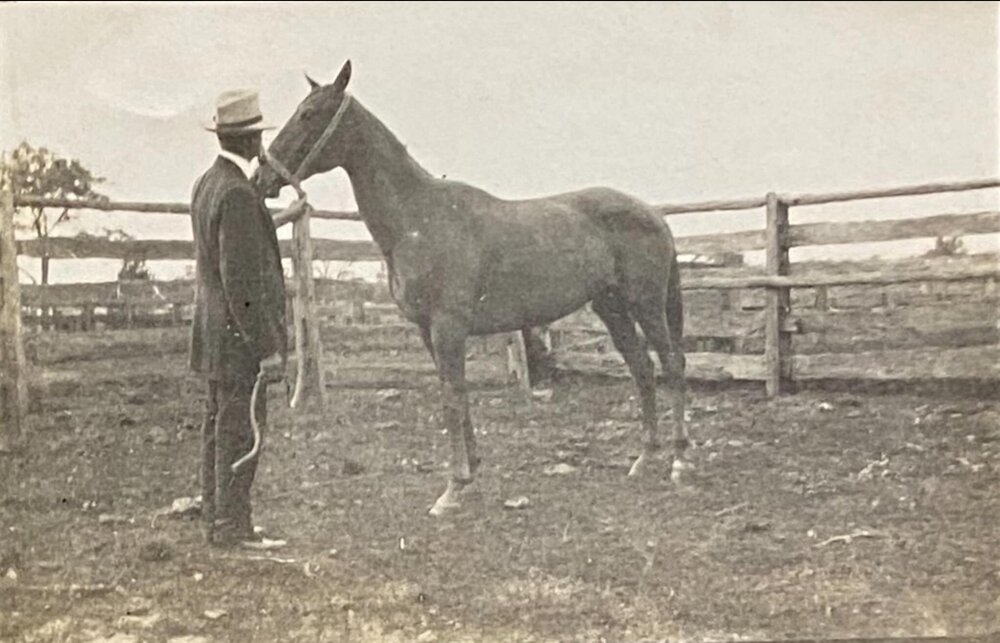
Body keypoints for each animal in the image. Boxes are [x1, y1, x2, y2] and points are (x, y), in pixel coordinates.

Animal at [253, 61, 691, 516]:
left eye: (309, 114)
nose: (262, 177)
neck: (420, 219)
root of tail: (653, 214)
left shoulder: (448, 328)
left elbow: (451, 396)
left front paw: (452, 489)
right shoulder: (428, 331)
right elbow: (458, 396)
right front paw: (471, 474)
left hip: (646, 306)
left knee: (672, 363)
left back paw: (678, 461)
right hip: (612, 308)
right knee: (642, 368)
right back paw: (645, 458)